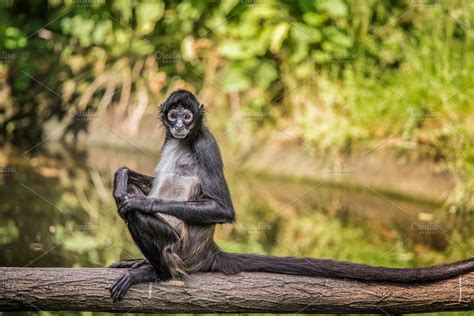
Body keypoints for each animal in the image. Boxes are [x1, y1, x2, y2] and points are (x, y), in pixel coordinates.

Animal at [108, 89, 474, 302]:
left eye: (188, 115)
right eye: (173, 114)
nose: (181, 125)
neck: (184, 139)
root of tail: (206, 252)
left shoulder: (205, 142)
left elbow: (222, 209)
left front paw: (139, 200)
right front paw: (121, 175)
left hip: (180, 250)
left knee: (137, 218)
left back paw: (155, 271)